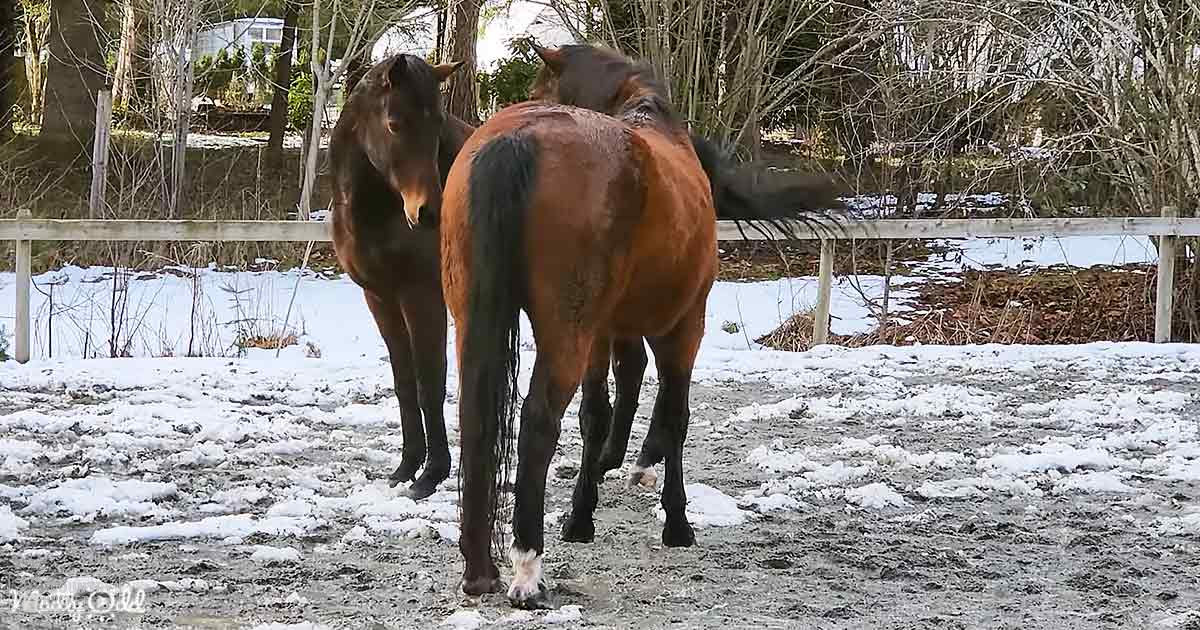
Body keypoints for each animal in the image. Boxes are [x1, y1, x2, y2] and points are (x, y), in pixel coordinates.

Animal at [329, 54, 468, 500]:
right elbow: (405, 383)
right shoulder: (381, 298)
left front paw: (432, 474)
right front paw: (407, 467)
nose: (429, 213)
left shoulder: (423, 298)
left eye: (438, 123)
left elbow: (429, 383)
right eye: (394, 122)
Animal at [440, 43, 840, 608]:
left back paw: (480, 570)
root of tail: (519, 139)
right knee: (540, 420)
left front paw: (583, 513)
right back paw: (527, 568)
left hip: (481, 321)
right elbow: (675, 413)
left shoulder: (607, 332)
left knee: (479, 417)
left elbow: (601, 411)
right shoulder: (684, 326)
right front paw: (676, 520)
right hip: (570, 332)